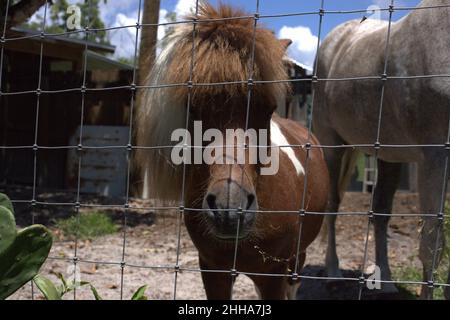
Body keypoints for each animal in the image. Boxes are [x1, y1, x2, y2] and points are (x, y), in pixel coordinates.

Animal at [135, 1, 328, 298]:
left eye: (268, 108)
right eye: (193, 108)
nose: (229, 210)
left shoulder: (273, 273)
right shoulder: (214, 271)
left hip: (297, 260)